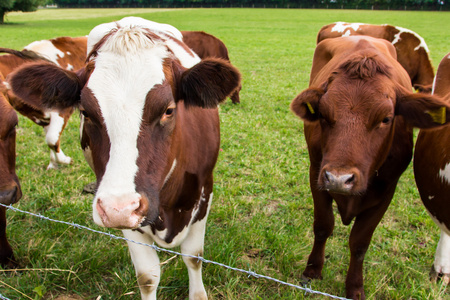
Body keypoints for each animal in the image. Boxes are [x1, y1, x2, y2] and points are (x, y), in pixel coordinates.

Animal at [0, 35, 87, 170]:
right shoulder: (41, 117)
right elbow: (50, 139)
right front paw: (53, 163)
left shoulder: (63, 110)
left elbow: (51, 139)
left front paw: (65, 160)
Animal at [290, 35, 448, 300]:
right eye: (323, 115)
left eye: (386, 119)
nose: (339, 179)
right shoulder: (317, 175)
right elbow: (323, 226)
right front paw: (312, 270)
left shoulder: (386, 192)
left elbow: (360, 242)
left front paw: (354, 287)